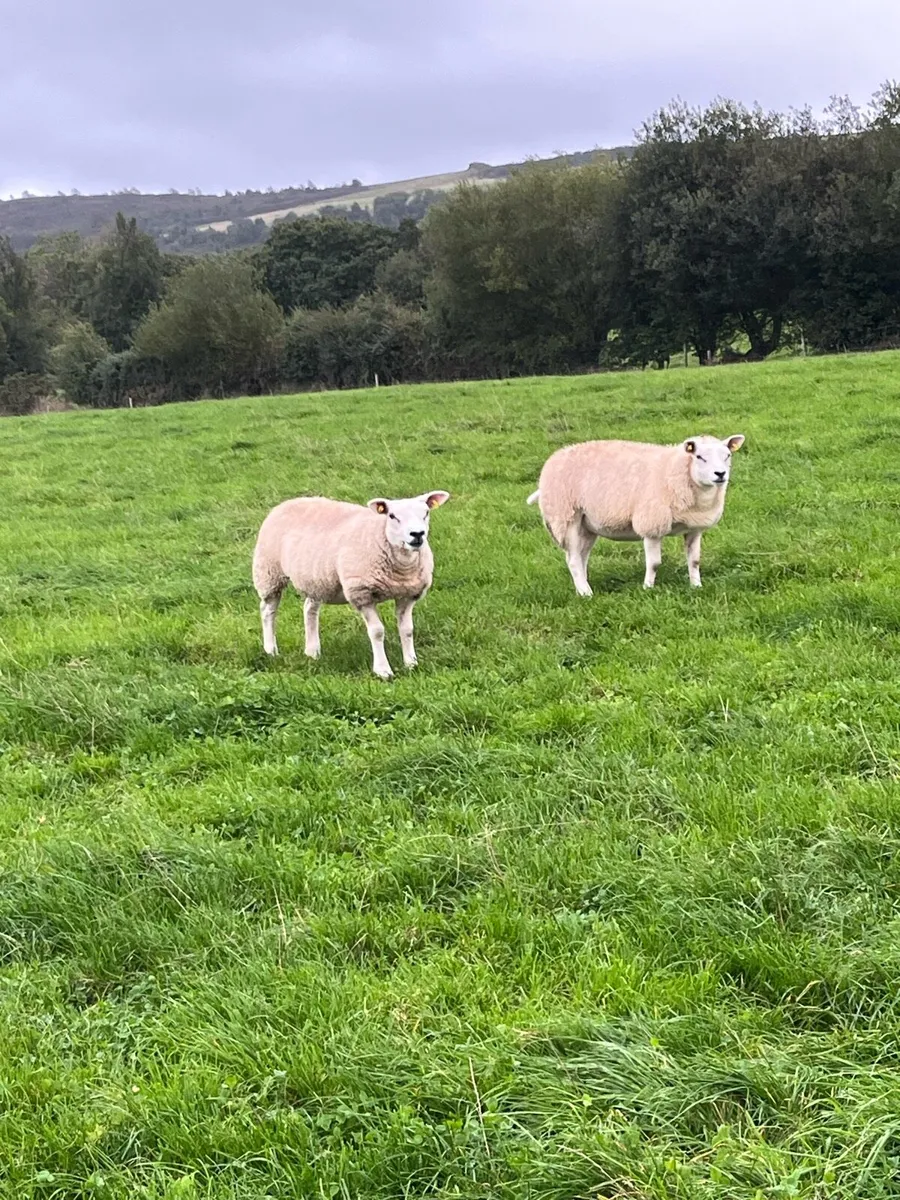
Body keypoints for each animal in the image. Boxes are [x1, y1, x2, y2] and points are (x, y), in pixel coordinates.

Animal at [252, 490, 450, 679]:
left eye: (426, 513)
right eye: (392, 516)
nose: (417, 534)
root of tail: (289, 502)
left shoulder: (408, 594)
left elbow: (407, 630)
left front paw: (411, 663)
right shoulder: (361, 593)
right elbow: (377, 632)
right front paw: (383, 671)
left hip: (317, 580)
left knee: (309, 609)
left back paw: (312, 652)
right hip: (268, 572)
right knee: (268, 610)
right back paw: (271, 650)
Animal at [527, 434, 745, 595]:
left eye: (727, 455)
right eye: (699, 456)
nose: (720, 474)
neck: (677, 472)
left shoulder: (694, 527)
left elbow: (694, 560)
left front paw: (696, 586)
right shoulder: (651, 525)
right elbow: (654, 563)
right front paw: (648, 588)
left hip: (586, 525)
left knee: (580, 557)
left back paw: (582, 586)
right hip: (566, 515)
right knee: (573, 560)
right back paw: (586, 593)